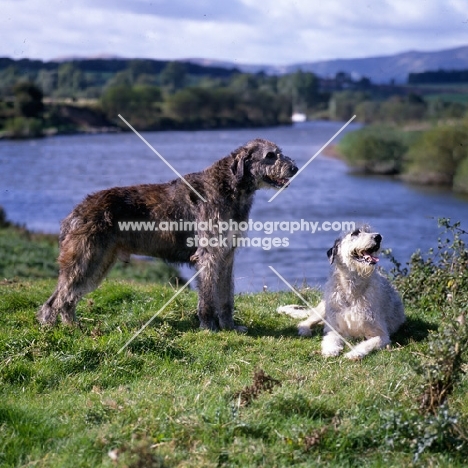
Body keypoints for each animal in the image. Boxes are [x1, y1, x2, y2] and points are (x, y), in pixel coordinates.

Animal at [38, 139, 298, 332]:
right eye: (270, 155)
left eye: (279, 153)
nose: (294, 169)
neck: (231, 186)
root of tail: (76, 211)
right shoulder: (208, 256)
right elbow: (207, 296)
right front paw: (208, 326)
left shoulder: (226, 256)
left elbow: (226, 295)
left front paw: (229, 326)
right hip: (86, 258)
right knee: (56, 300)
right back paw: (53, 328)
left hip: (99, 262)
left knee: (68, 298)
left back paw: (72, 326)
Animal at [278, 226, 406, 358]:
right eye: (355, 233)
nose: (378, 237)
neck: (352, 287)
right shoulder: (335, 328)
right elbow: (331, 338)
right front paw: (330, 350)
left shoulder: (380, 334)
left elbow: (370, 343)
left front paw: (354, 353)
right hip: (324, 308)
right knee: (306, 321)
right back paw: (305, 329)